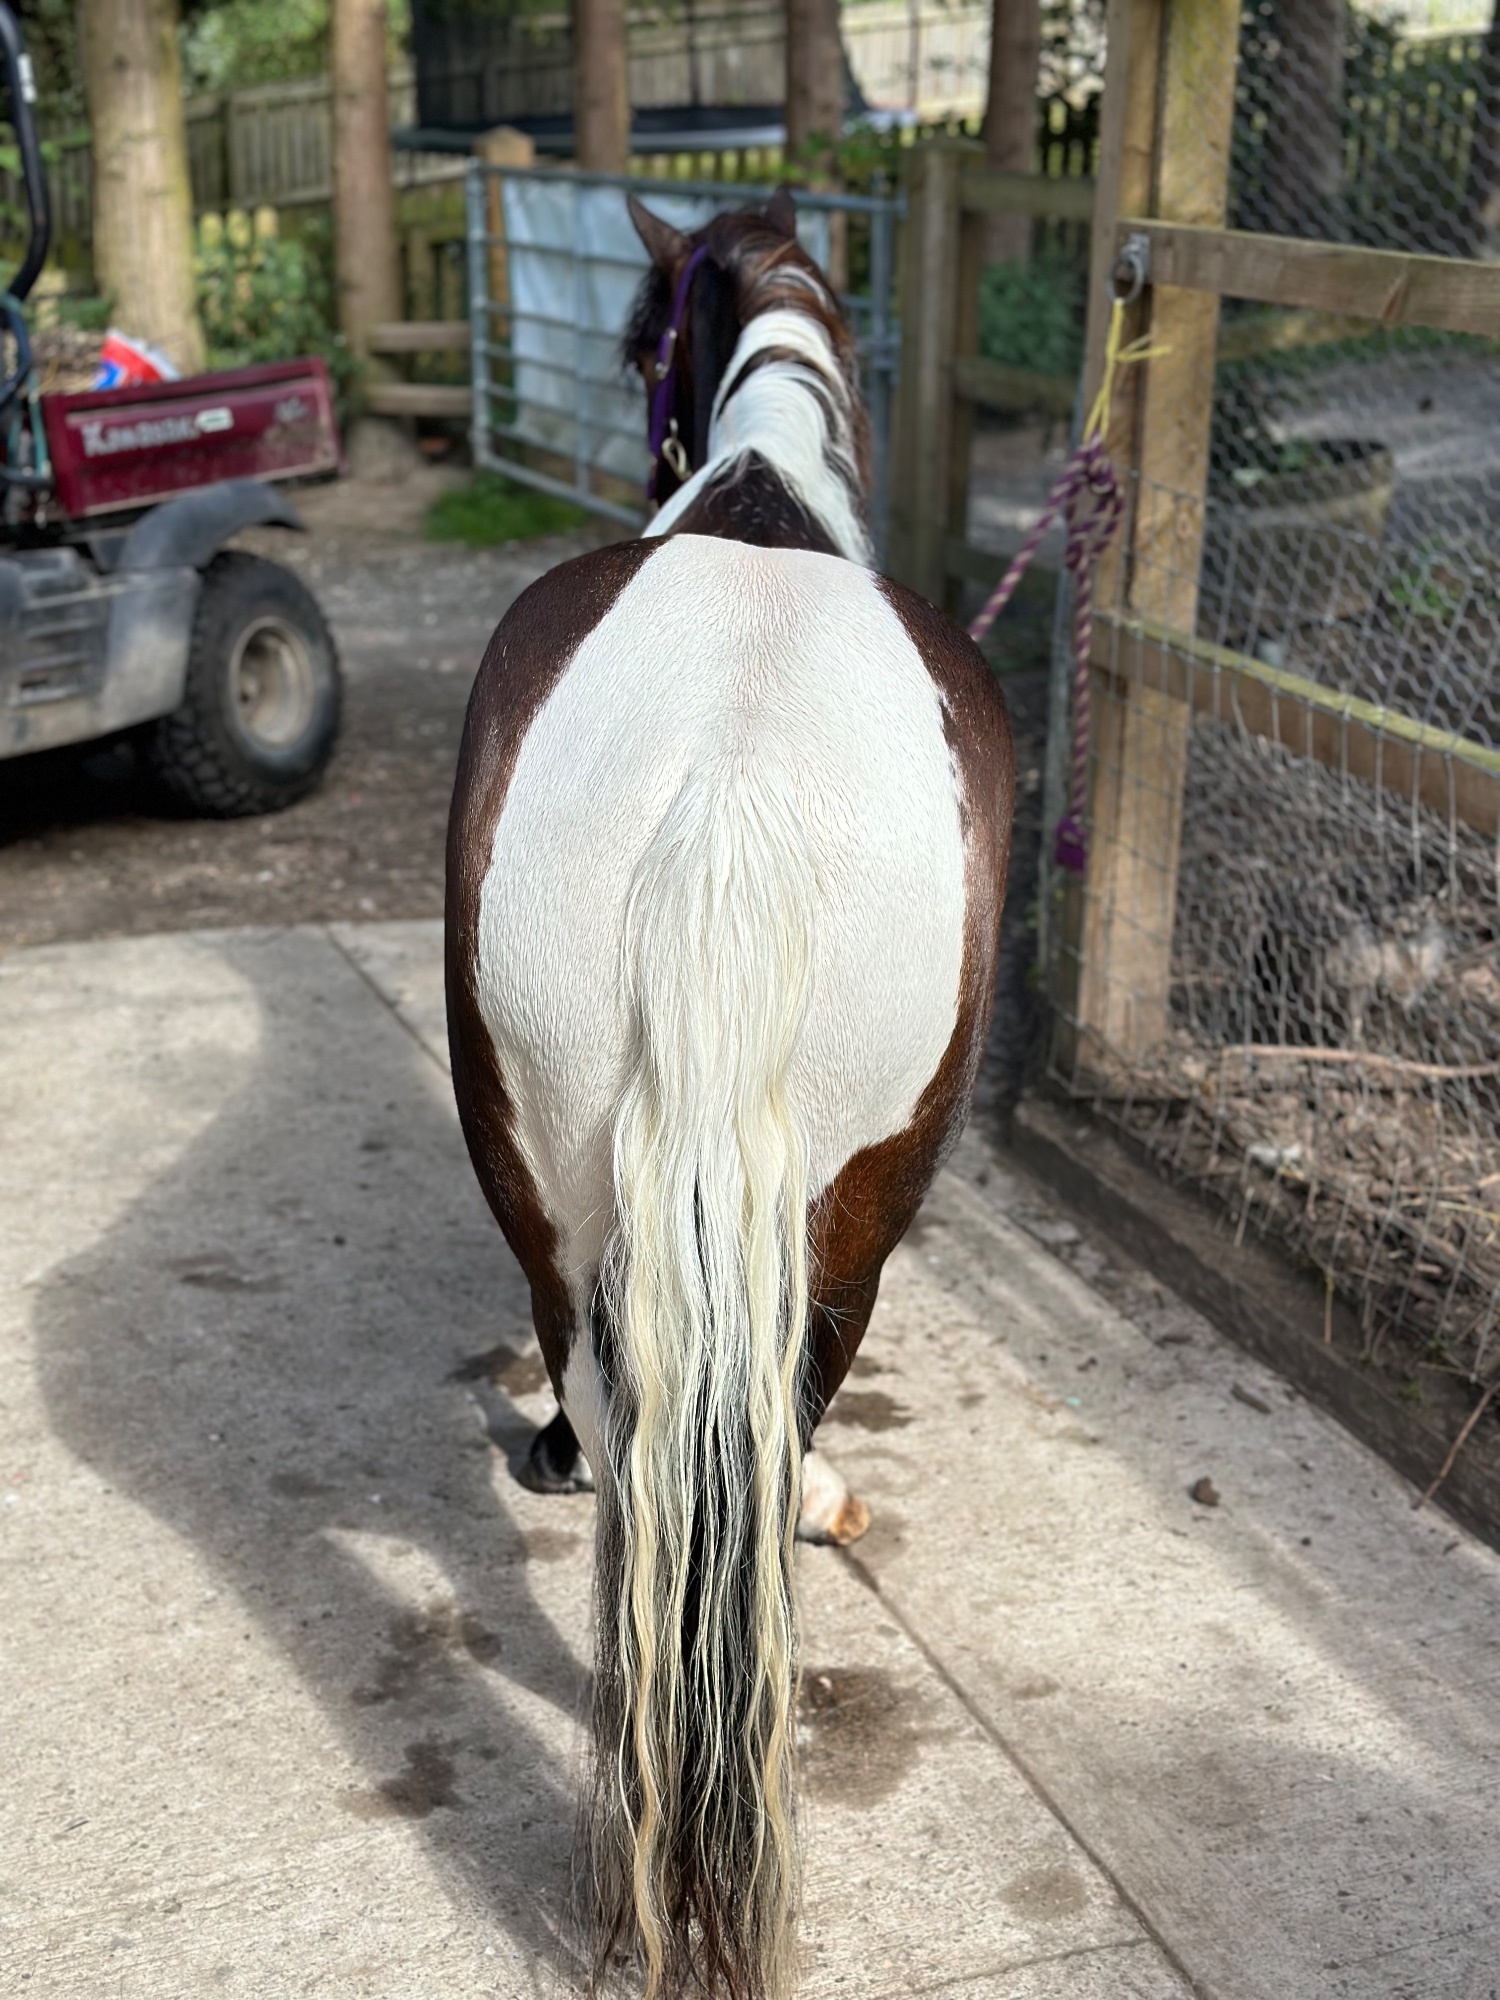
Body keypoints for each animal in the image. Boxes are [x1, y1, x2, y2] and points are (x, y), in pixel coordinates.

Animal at [445, 187, 1014, 2000]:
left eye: (638, 340)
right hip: (852, 1206)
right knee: (722, 1430)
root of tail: (733, 787)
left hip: (560, 1172)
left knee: (636, 1426)